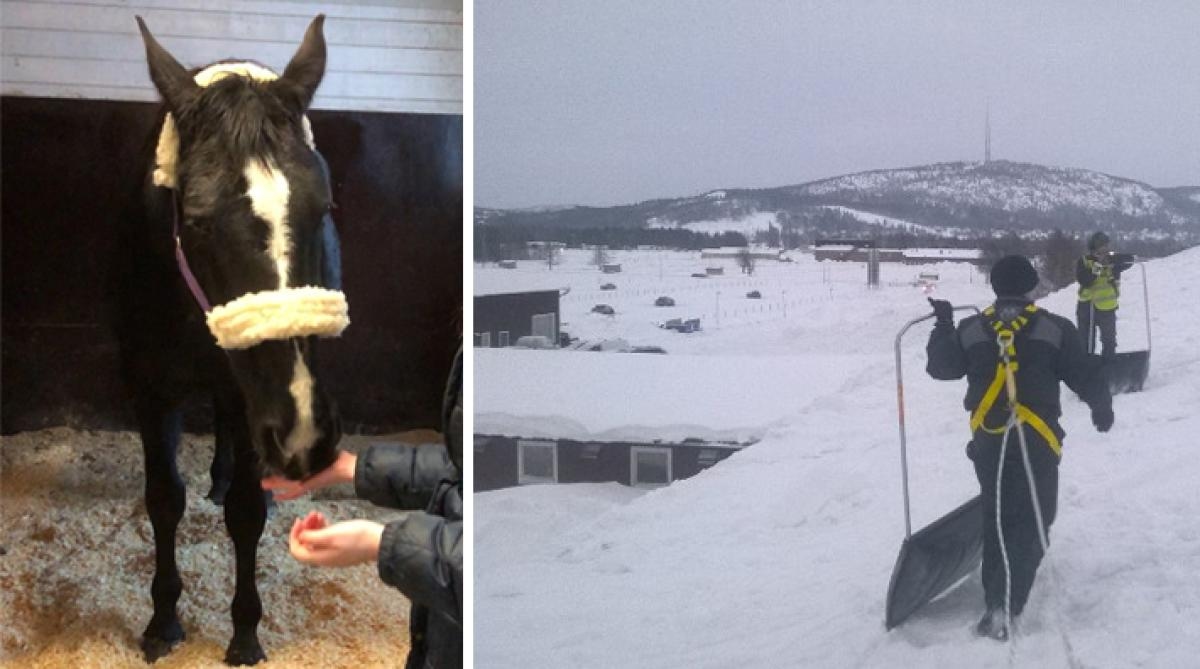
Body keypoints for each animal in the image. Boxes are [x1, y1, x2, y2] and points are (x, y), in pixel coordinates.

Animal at [117, 15, 345, 666]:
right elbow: (164, 499)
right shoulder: (150, 391)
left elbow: (245, 514)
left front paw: (244, 632)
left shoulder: (254, 402)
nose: (303, 436)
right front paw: (163, 620)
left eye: (324, 207)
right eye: (195, 221)